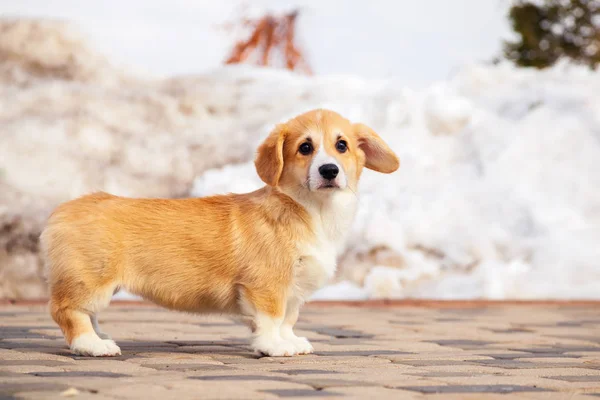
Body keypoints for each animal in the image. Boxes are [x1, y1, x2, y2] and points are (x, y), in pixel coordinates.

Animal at [41, 108, 398, 356]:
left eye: (342, 145)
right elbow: (272, 319)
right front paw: (273, 347)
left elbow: (288, 319)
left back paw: (100, 337)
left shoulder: (293, 290)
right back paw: (92, 345)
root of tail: (62, 210)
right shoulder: (267, 286)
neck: (313, 211)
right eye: (305, 147)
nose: (329, 170)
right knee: (67, 311)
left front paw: (292, 341)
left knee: (87, 314)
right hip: (91, 279)